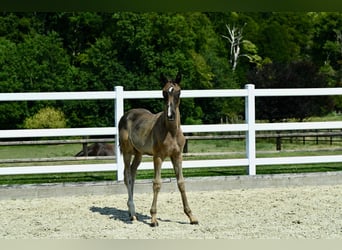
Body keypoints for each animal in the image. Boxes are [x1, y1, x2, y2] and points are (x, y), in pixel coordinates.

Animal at [118, 72, 198, 227]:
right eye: (163, 92)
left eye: (178, 92)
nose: (170, 115)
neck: (171, 131)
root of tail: (126, 115)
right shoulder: (158, 157)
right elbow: (157, 183)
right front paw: (153, 219)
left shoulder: (177, 156)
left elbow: (181, 183)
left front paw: (191, 217)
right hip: (127, 152)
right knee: (128, 176)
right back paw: (133, 213)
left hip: (138, 154)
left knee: (132, 173)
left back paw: (132, 212)